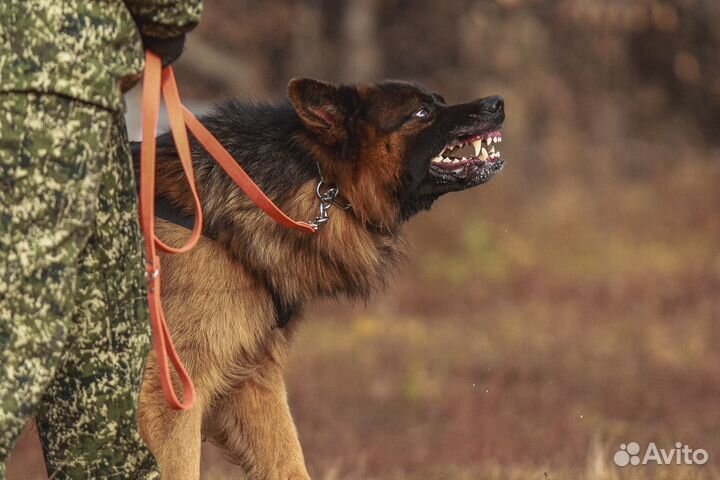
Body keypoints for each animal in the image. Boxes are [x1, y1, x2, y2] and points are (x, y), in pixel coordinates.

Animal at [135, 77, 506, 478]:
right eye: (422, 113)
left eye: (439, 100)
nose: (496, 103)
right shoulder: (171, 392)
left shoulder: (252, 379)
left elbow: (289, 464)